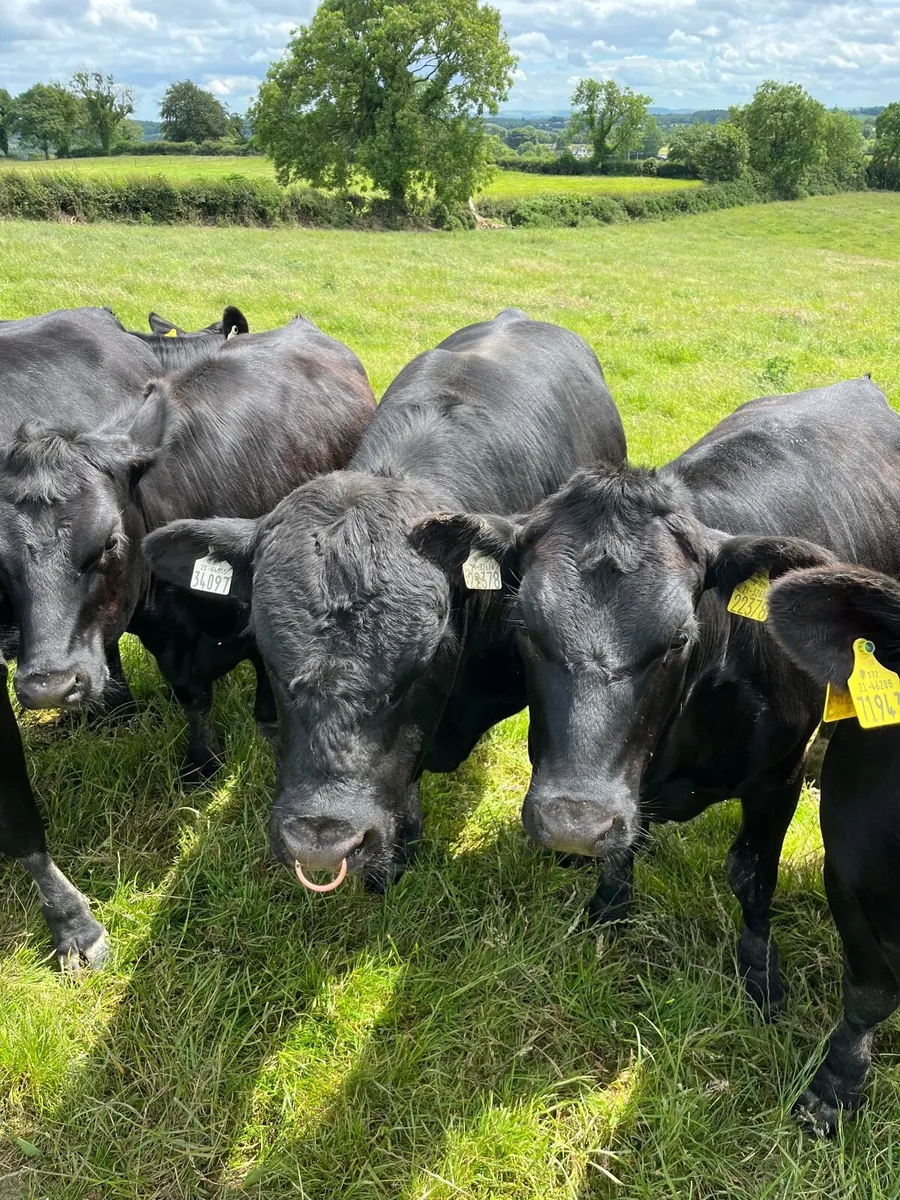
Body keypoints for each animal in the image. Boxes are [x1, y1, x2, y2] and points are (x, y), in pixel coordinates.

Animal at [418, 378, 900, 1023]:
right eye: (524, 626)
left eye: (678, 638)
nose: (574, 824)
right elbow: (625, 850)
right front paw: (608, 911)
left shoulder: (781, 773)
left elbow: (753, 876)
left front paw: (761, 976)